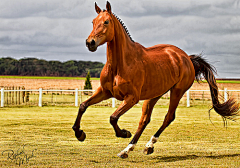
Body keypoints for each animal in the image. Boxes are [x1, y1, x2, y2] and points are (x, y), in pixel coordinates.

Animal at [72, 1, 239, 159]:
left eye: (106, 21)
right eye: (93, 21)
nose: (90, 42)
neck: (121, 64)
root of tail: (186, 58)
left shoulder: (131, 98)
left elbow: (113, 117)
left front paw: (124, 133)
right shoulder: (105, 92)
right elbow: (83, 106)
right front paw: (79, 133)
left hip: (177, 91)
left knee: (168, 117)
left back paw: (148, 146)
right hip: (154, 95)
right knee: (145, 120)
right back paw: (128, 150)